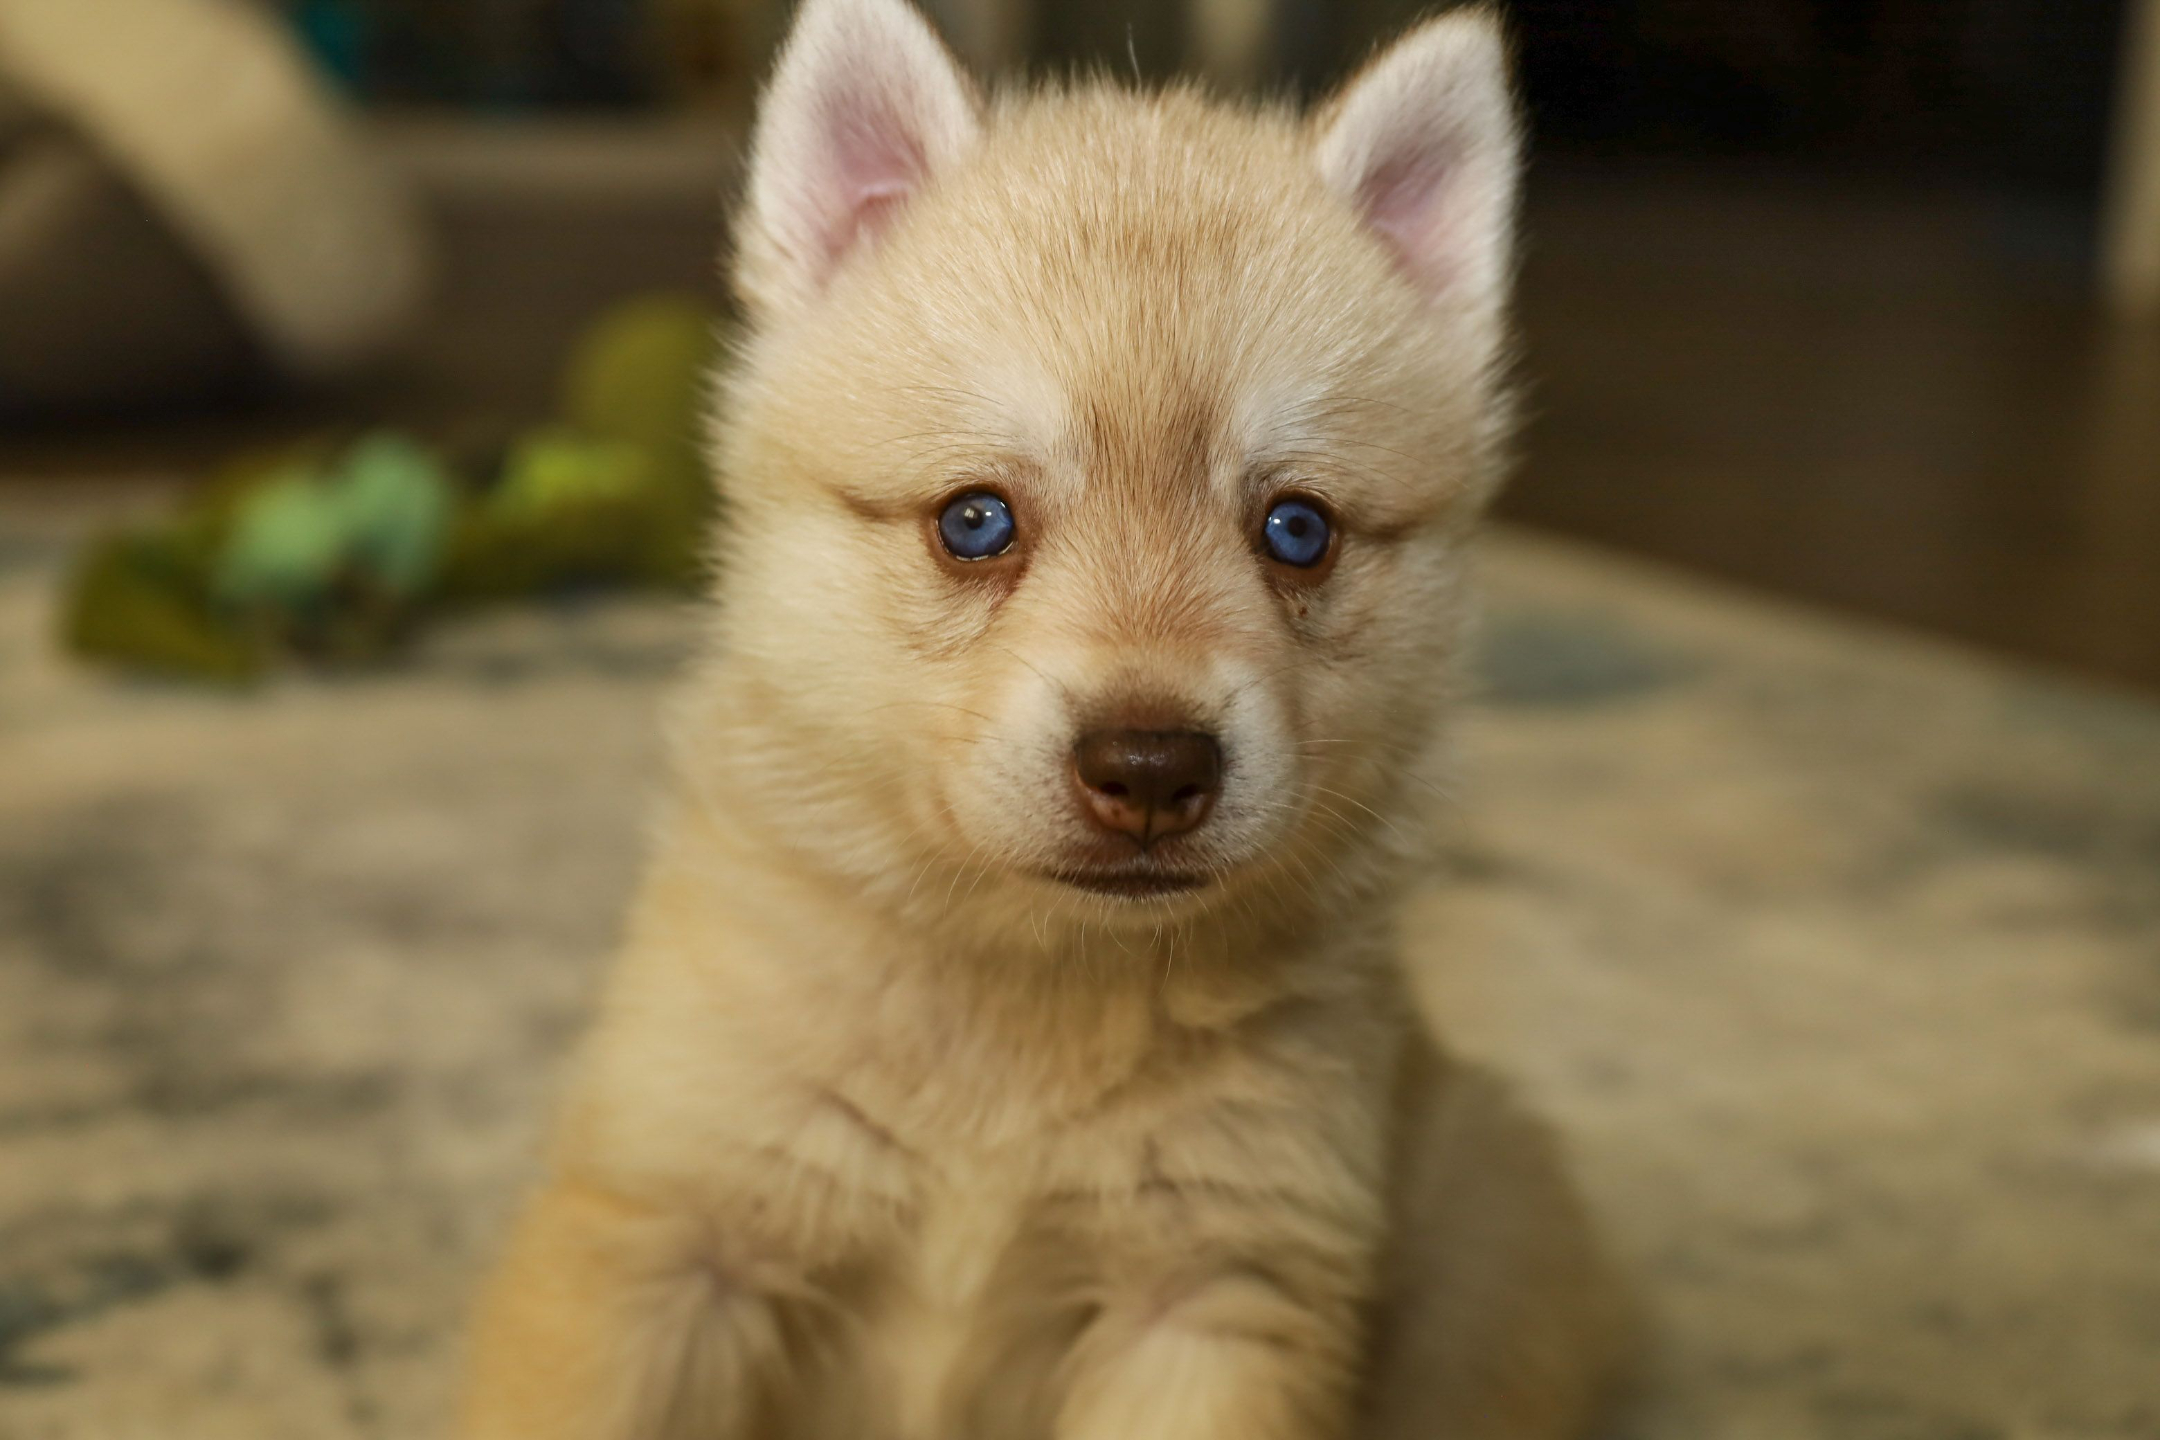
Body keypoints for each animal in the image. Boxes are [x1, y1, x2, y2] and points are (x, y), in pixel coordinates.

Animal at [452, 1, 1635, 1436]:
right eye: (976, 521)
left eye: (1297, 531)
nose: (1152, 767)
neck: (1023, 1003)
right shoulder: (667, 1234)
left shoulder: (1211, 1293)